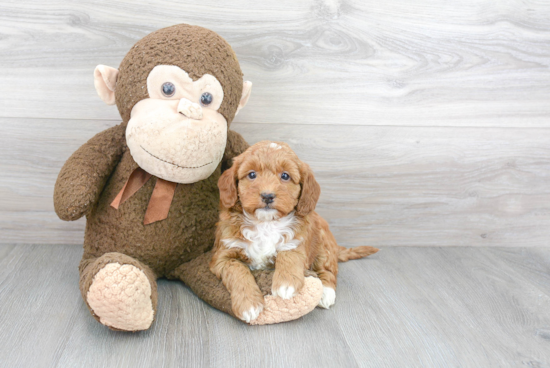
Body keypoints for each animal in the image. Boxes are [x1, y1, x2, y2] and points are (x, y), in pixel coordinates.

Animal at [211, 141, 380, 322]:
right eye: (251, 174)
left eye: (285, 176)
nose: (267, 196)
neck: (266, 223)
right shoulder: (224, 254)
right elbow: (237, 270)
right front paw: (248, 304)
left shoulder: (297, 240)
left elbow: (289, 255)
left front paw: (286, 283)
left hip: (323, 245)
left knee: (327, 271)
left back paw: (326, 293)